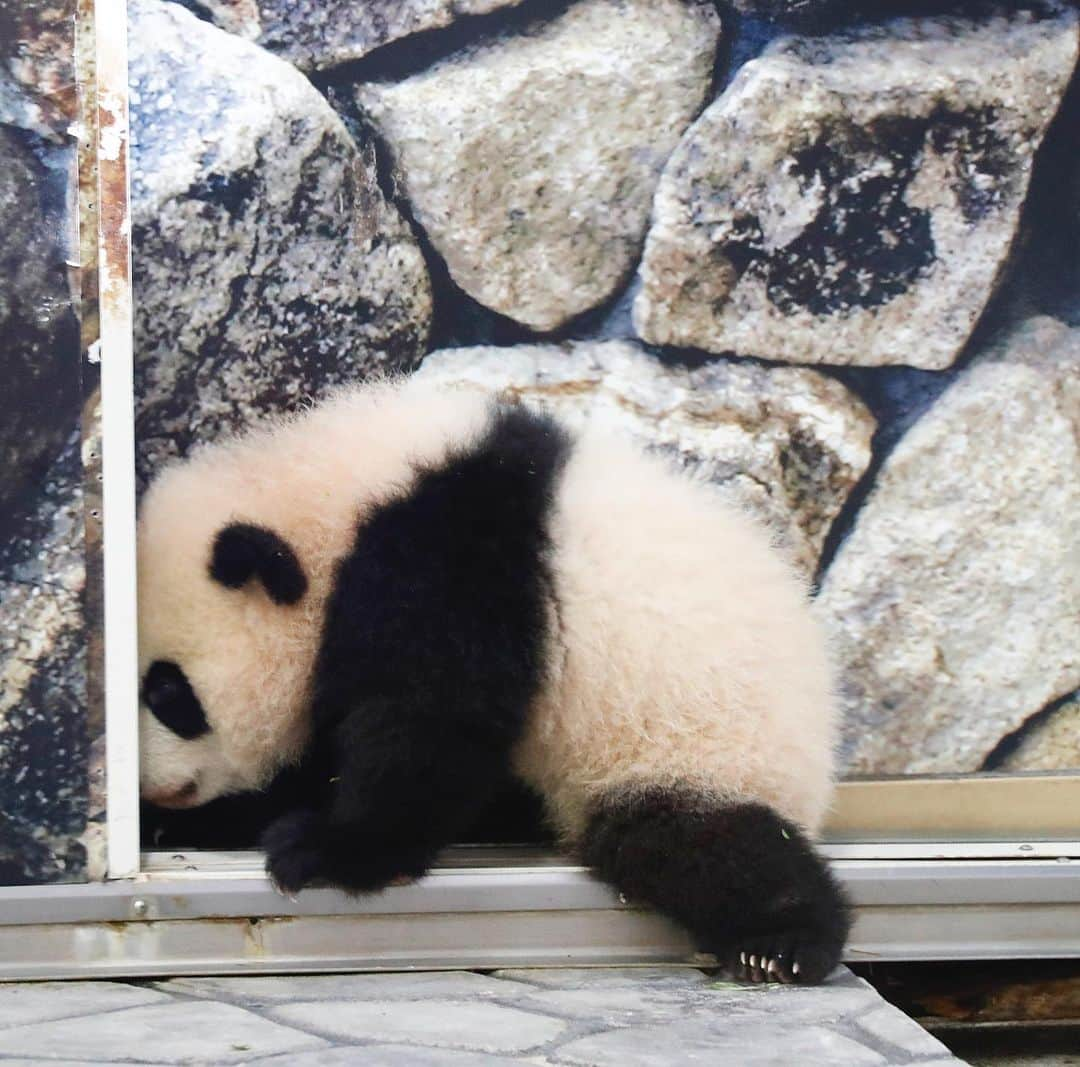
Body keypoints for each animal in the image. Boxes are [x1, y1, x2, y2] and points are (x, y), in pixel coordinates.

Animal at [135, 377, 846, 984]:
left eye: (168, 694)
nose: (154, 787)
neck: (327, 500)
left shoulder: (450, 564)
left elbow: (427, 725)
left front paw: (329, 849)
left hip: (701, 744)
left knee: (701, 846)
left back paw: (784, 943)